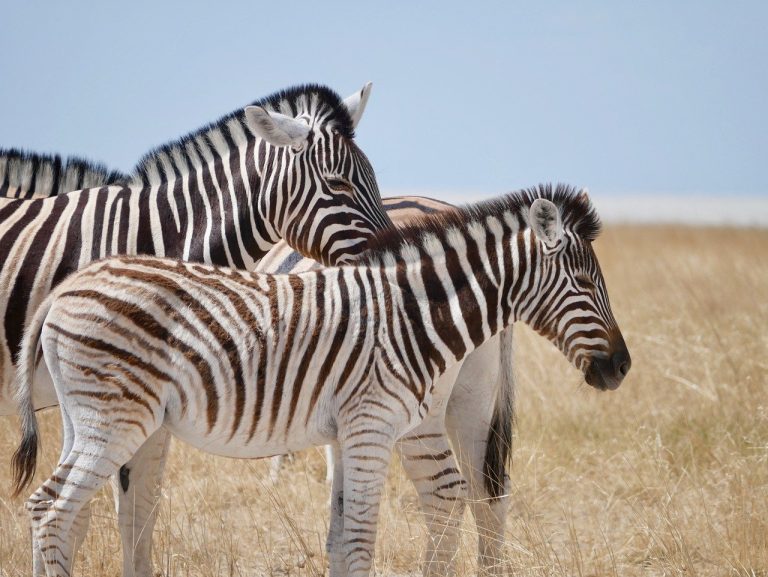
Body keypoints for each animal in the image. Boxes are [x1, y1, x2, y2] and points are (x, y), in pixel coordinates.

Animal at [12, 184, 631, 577]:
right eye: (583, 280)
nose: (622, 367)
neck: (411, 312)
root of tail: (62, 292)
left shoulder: (352, 431)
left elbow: (344, 538)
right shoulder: (370, 425)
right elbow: (357, 540)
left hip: (86, 417)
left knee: (49, 508)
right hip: (115, 419)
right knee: (54, 508)